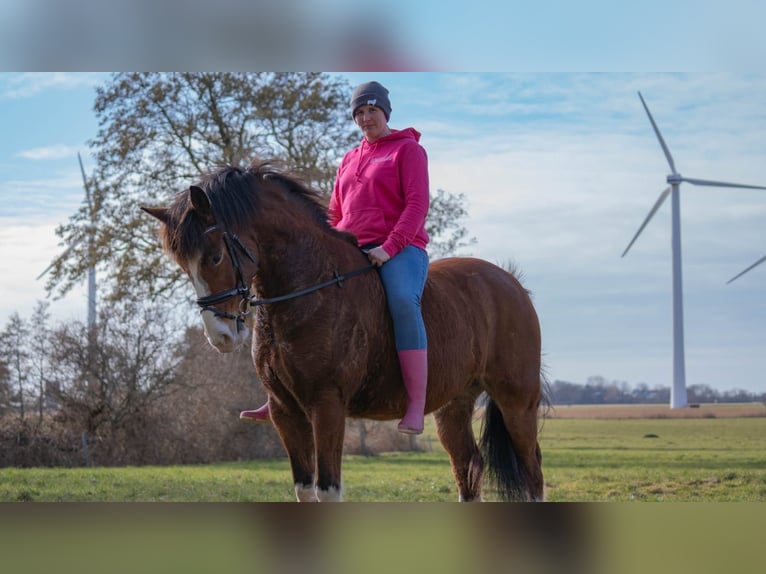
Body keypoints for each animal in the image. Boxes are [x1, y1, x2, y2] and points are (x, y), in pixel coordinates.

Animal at [142, 163, 544, 504]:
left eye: (214, 257)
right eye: (183, 264)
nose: (220, 336)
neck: (309, 289)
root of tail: (510, 282)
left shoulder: (327, 405)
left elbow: (327, 490)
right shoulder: (285, 411)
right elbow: (305, 490)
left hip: (517, 402)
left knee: (532, 471)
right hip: (453, 406)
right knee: (468, 468)